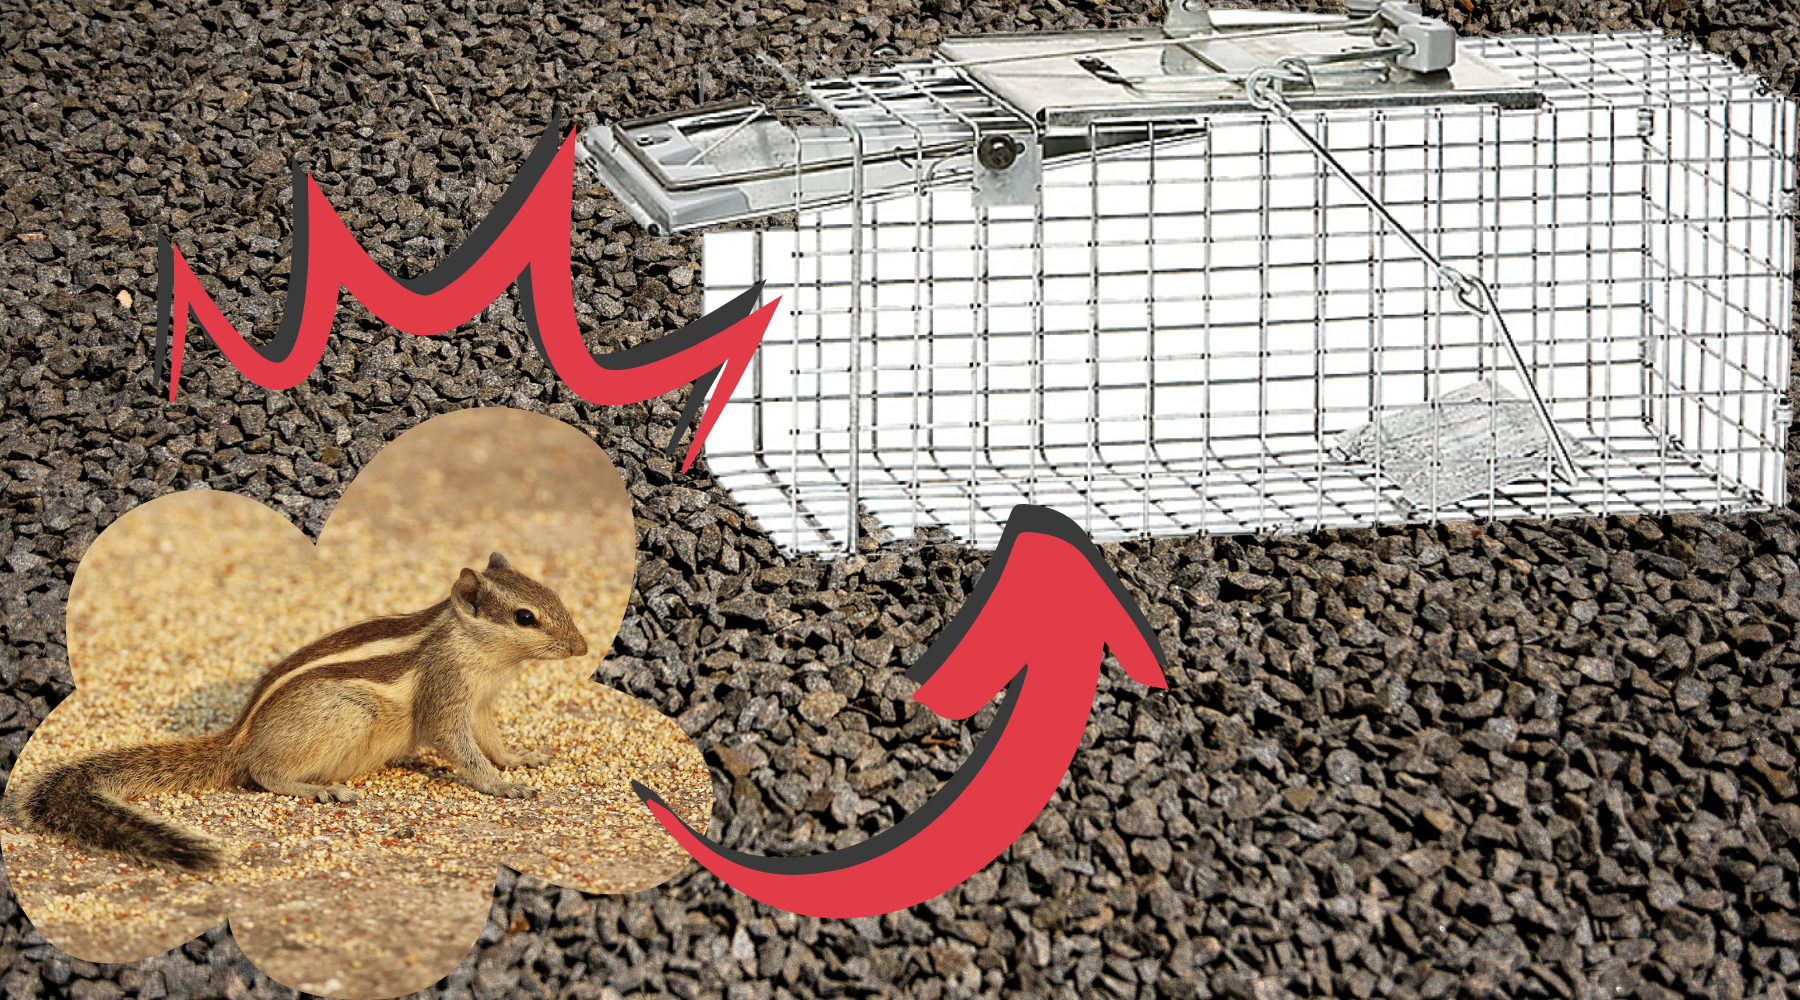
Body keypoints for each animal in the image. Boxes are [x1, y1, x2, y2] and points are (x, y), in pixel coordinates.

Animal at [12, 552, 589, 874]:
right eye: (525, 617)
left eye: (555, 595)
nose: (582, 648)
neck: (477, 648)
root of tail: (238, 738)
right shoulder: (446, 699)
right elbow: (462, 751)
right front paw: (502, 786)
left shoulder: (482, 704)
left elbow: (492, 740)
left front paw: (521, 759)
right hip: (346, 715)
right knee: (262, 773)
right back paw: (319, 790)